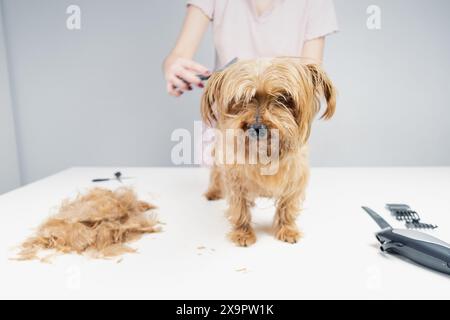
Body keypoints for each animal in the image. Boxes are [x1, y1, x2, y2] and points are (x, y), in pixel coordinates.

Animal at [200, 57, 334, 246]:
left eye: (283, 98)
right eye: (242, 100)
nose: (257, 127)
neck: (264, 153)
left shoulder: (295, 177)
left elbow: (287, 205)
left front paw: (287, 229)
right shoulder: (234, 176)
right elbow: (240, 207)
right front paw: (243, 233)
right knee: (216, 172)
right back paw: (213, 191)